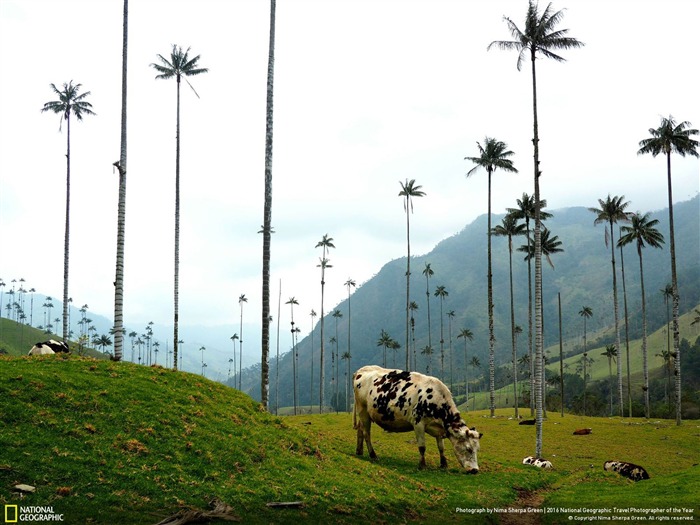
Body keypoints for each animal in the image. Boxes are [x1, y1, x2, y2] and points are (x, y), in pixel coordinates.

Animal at [352, 364, 484, 470]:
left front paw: (443, 464)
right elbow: (422, 447)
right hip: (363, 410)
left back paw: (359, 451)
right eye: (468, 448)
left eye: (477, 449)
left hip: (363, 413)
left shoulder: (438, 428)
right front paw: (422, 465)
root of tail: (361, 370)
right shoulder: (418, 423)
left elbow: (441, 447)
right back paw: (373, 455)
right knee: (367, 433)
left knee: (360, 429)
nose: (475, 470)